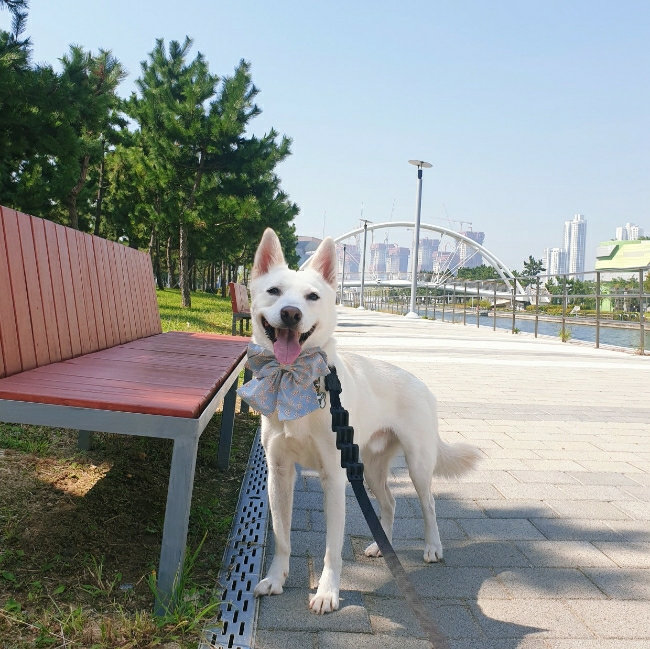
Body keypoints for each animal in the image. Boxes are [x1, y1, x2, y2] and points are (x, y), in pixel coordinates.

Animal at [246, 228, 478, 612]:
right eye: (274, 291)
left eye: (312, 296)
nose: (291, 313)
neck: (296, 381)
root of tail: (420, 383)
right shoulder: (278, 474)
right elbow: (281, 536)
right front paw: (275, 579)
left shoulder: (334, 478)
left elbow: (332, 548)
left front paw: (327, 592)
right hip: (368, 466)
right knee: (390, 502)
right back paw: (381, 547)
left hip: (416, 463)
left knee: (428, 504)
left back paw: (433, 547)